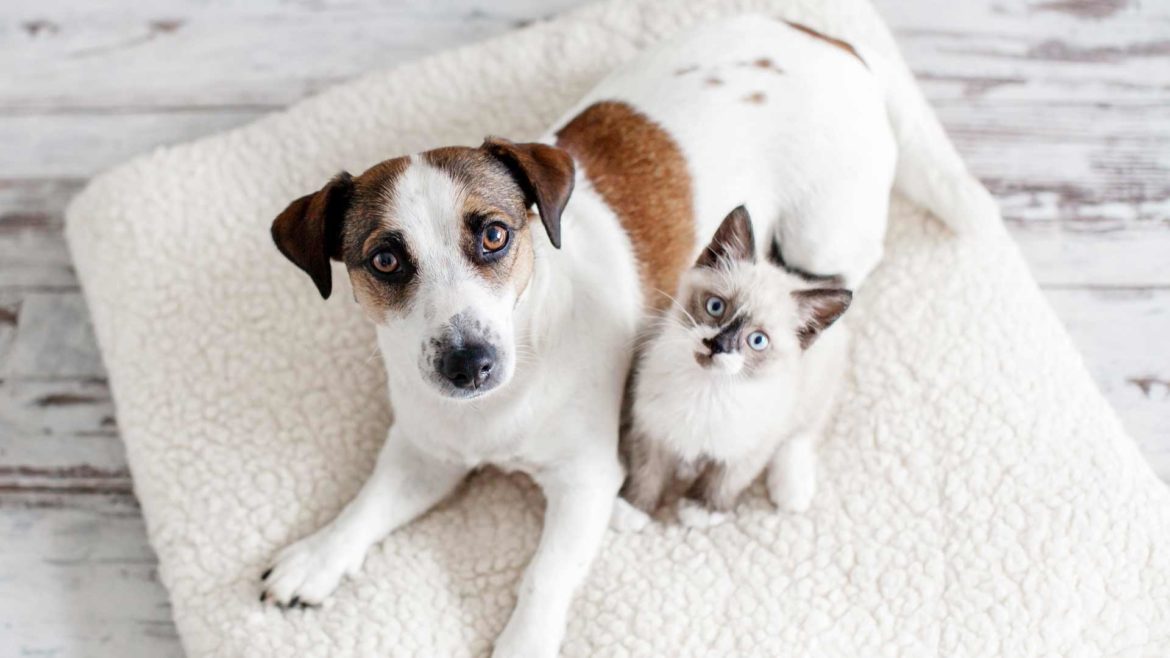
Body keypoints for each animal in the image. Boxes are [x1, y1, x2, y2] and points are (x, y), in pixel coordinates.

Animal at [622, 204, 851, 522]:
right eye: (715, 306)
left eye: (757, 340)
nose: (717, 345)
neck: (708, 389)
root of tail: (799, 279)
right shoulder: (652, 427)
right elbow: (647, 471)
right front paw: (634, 508)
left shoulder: (750, 448)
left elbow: (724, 480)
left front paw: (701, 510)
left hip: (815, 389)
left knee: (804, 433)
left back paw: (792, 490)